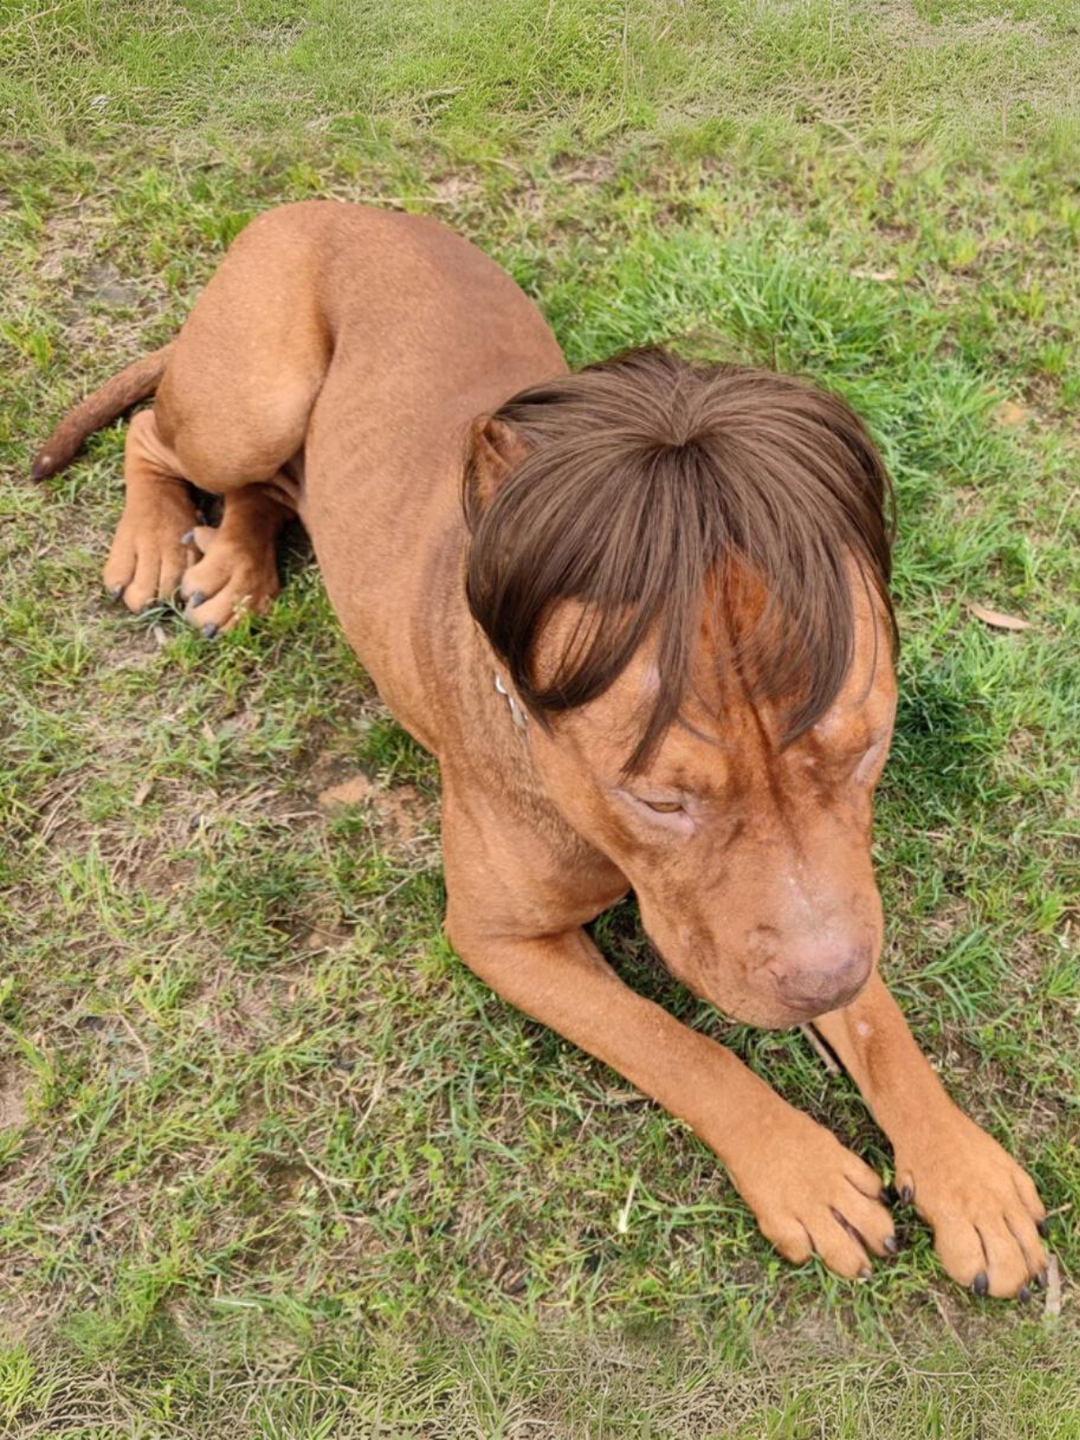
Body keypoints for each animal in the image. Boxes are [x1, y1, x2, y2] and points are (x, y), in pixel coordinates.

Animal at [33, 200, 1048, 1296]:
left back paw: (236, 563)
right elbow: (677, 1046)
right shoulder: (502, 941)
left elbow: (880, 1026)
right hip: (250, 400)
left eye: (866, 747)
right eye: (658, 800)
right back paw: (158, 540)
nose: (820, 983)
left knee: (272, 488)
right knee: (160, 437)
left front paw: (965, 1173)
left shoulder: (832, 903)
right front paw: (803, 1170)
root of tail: (333, 204)